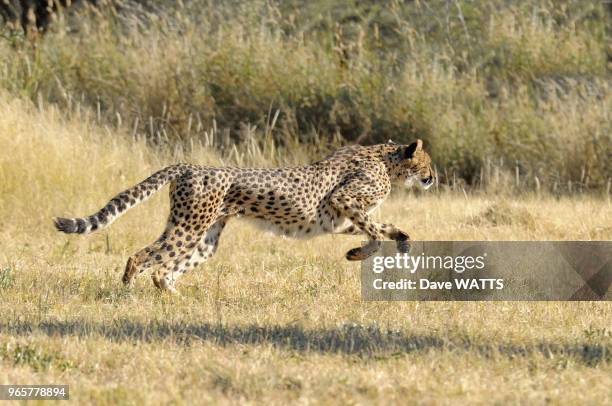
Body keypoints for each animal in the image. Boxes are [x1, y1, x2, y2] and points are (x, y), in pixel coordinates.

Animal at [53, 140, 436, 292]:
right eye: (428, 163)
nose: (433, 178)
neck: (386, 160)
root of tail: (189, 165)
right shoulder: (344, 201)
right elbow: (374, 234)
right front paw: (358, 254)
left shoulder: (341, 219)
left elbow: (383, 227)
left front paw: (403, 242)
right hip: (189, 228)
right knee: (143, 257)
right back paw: (127, 292)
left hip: (203, 236)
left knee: (165, 268)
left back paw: (175, 298)